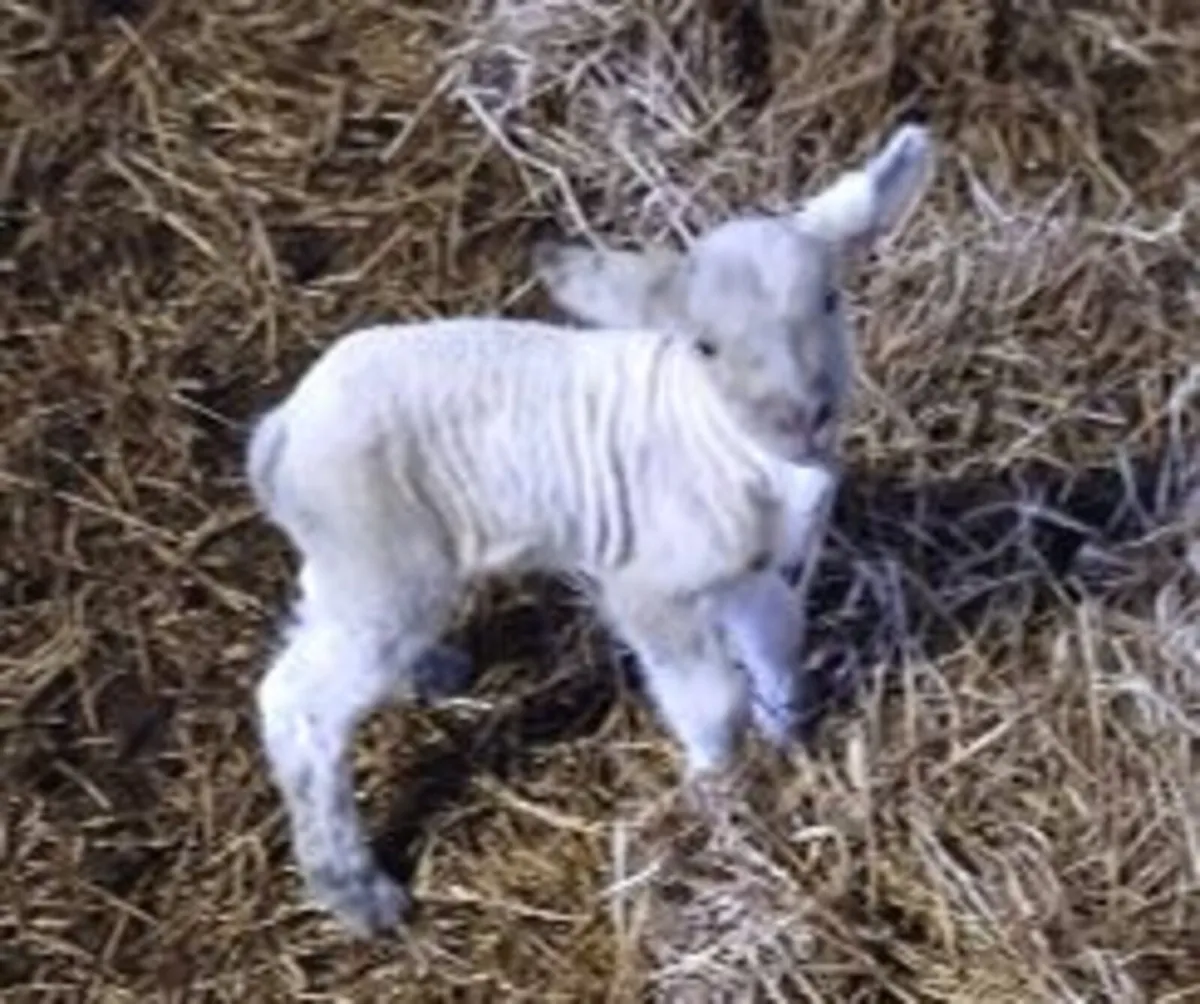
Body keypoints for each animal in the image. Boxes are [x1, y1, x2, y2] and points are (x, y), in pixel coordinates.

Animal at [247, 123, 935, 936]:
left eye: (830, 299)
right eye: (704, 345)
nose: (804, 417)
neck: (731, 447)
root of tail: (282, 429)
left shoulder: (758, 572)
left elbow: (778, 651)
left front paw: (793, 743)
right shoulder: (652, 587)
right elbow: (713, 700)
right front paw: (718, 798)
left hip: (353, 562)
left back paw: (435, 671)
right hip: (380, 558)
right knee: (298, 704)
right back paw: (359, 894)